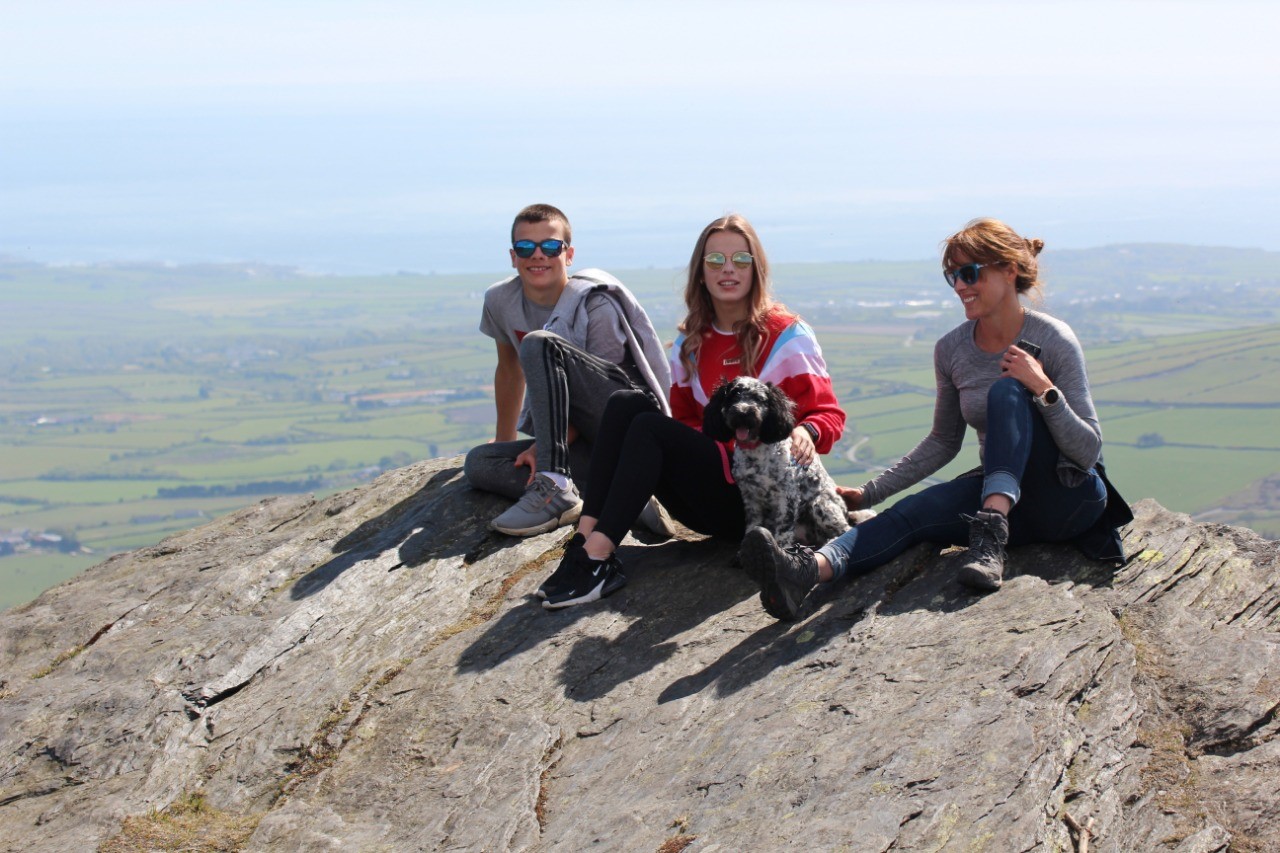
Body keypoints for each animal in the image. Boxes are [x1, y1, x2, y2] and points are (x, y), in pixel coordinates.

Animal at [706, 373, 855, 545]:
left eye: (759, 398)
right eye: (733, 395)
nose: (743, 412)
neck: (755, 452)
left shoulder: (787, 495)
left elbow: (783, 531)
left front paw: (781, 548)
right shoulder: (750, 497)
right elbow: (752, 524)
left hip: (821, 505)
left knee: (845, 530)